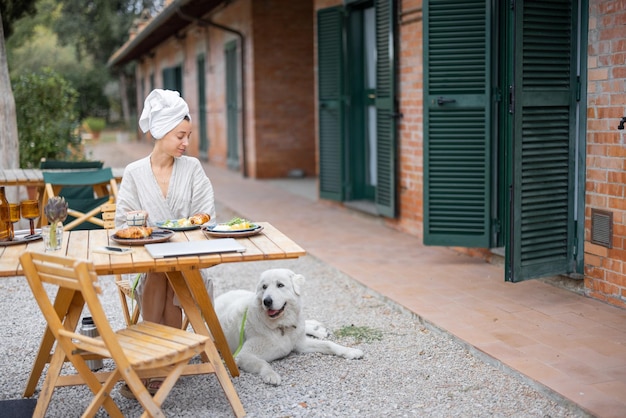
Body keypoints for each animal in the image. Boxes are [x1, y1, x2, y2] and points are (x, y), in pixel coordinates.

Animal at [213, 268, 360, 386]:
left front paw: (350, 351)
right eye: (264, 287)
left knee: (304, 324)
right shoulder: (244, 355)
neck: (281, 327)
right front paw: (271, 375)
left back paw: (318, 328)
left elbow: (329, 344)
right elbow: (263, 363)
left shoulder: (300, 344)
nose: (266, 301)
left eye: (280, 285)